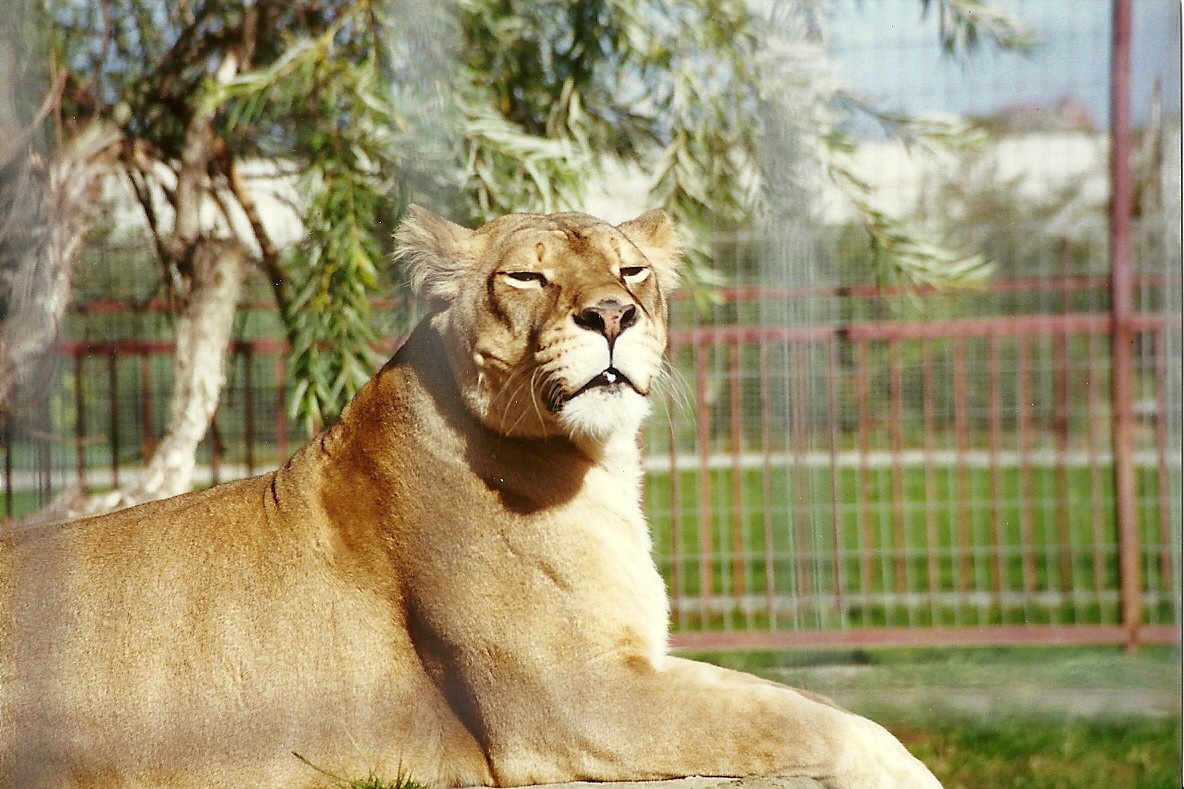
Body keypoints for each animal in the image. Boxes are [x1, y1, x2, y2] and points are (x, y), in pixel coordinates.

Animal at [0, 207, 942, 788]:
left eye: (631, 269)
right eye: (528, 277)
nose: (613, 316)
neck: (598, 464)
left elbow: (797, 700)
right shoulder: (575, 699)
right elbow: (809, 719)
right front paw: (909, 769)